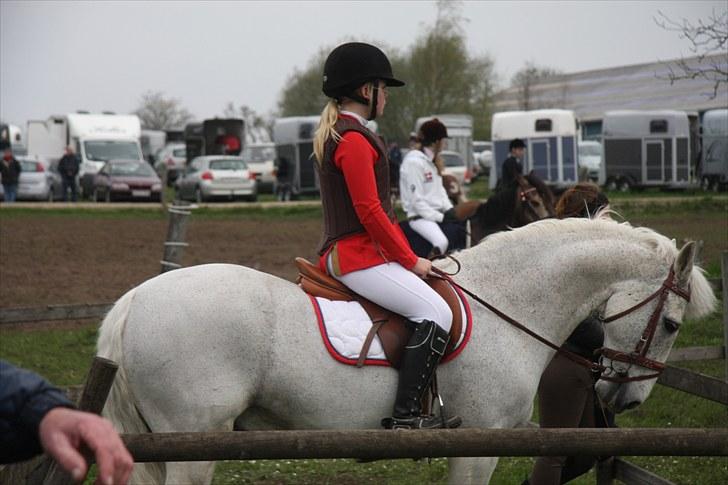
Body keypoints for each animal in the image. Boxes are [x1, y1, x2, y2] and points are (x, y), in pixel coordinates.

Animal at [96, 217, 716, 482]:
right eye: (672, 325)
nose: (627, 400)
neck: (509, 300)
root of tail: (134, 299)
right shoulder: (481, 446)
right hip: (193, 443)